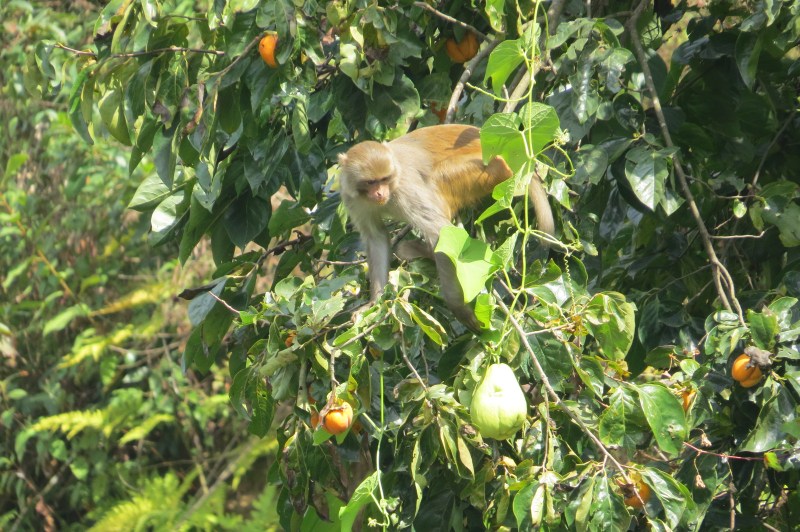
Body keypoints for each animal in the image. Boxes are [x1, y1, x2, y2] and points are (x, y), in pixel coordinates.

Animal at [338, 124, 555, 331]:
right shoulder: (351, 198)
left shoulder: (405, 191)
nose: (380, 193)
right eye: (371, 182)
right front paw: (374, 302)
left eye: (384, 179)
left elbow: (440, 231)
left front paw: (457, 306)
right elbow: (376, 237)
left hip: (488, 169)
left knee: (437, 182)